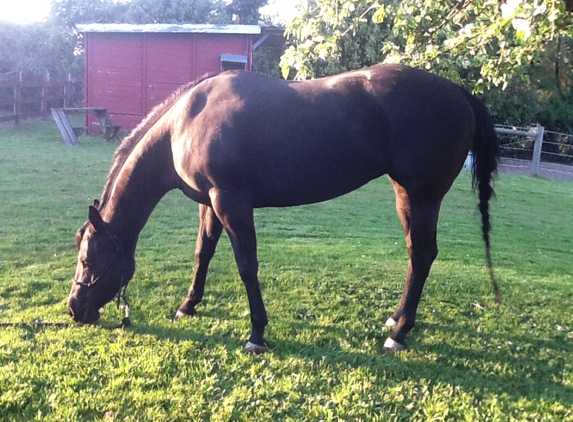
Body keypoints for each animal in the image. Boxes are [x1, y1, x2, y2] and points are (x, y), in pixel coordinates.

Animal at [66, 62, 496, 352]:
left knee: (422, 255)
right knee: (416, 255)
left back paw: (398, 334)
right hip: (406, 195)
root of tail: (458, 92)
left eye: (88, 261)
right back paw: (397, 318)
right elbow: (203, 253)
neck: (185, 124)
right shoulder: (211, 204)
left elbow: (246, 266)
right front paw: (188, 305)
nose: (74, 308)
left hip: (421, 196)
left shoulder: (231, 202)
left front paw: (257, 333)